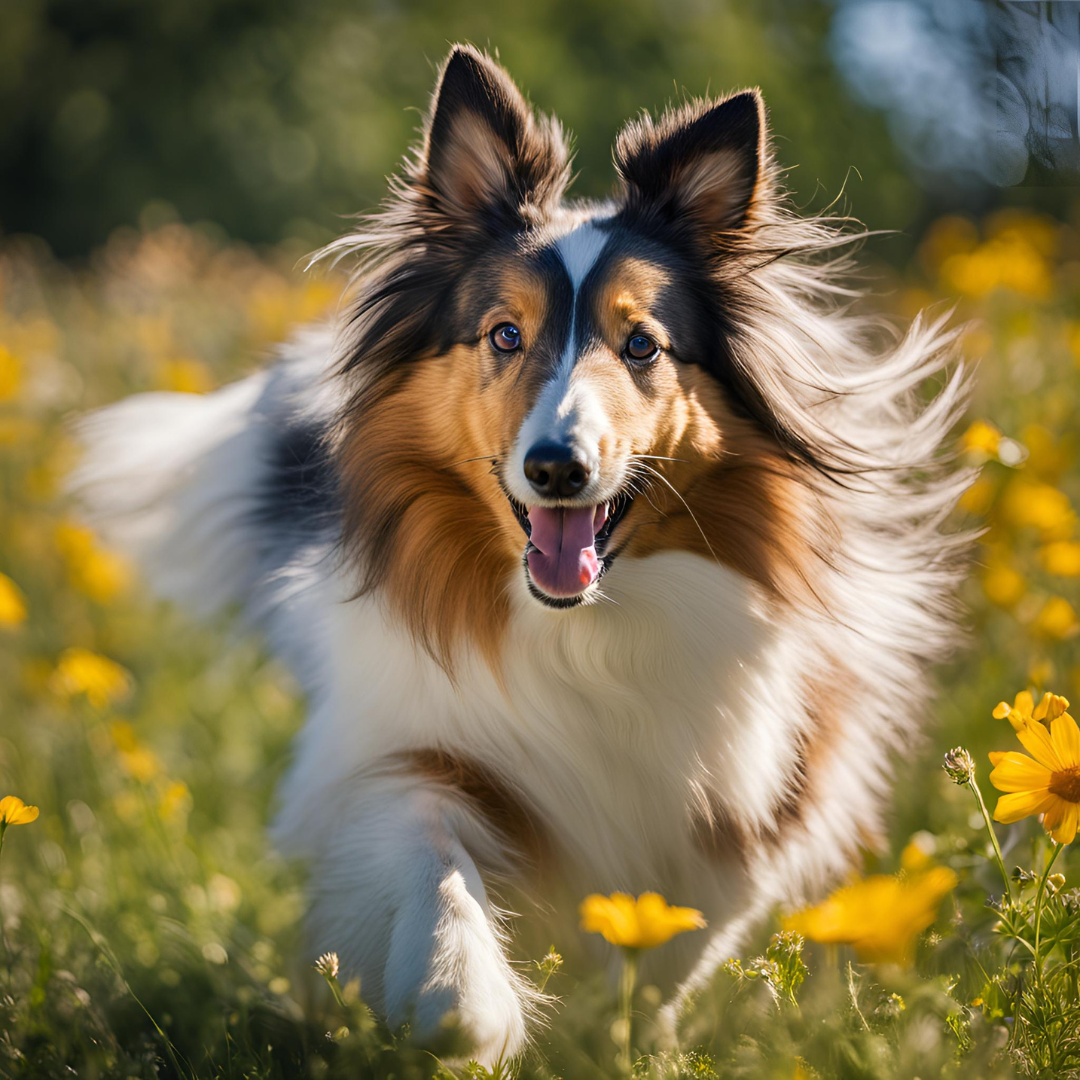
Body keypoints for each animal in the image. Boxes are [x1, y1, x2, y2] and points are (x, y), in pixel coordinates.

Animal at [73, 46, 972, 1067]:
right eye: (505, 333)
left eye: (642, 345)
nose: (555, 466)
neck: (585, 630)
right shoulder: (406, 744)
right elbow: (432, 853)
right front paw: (462, 1003)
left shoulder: (748, 796)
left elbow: (681, 940)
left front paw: (631, 1039)